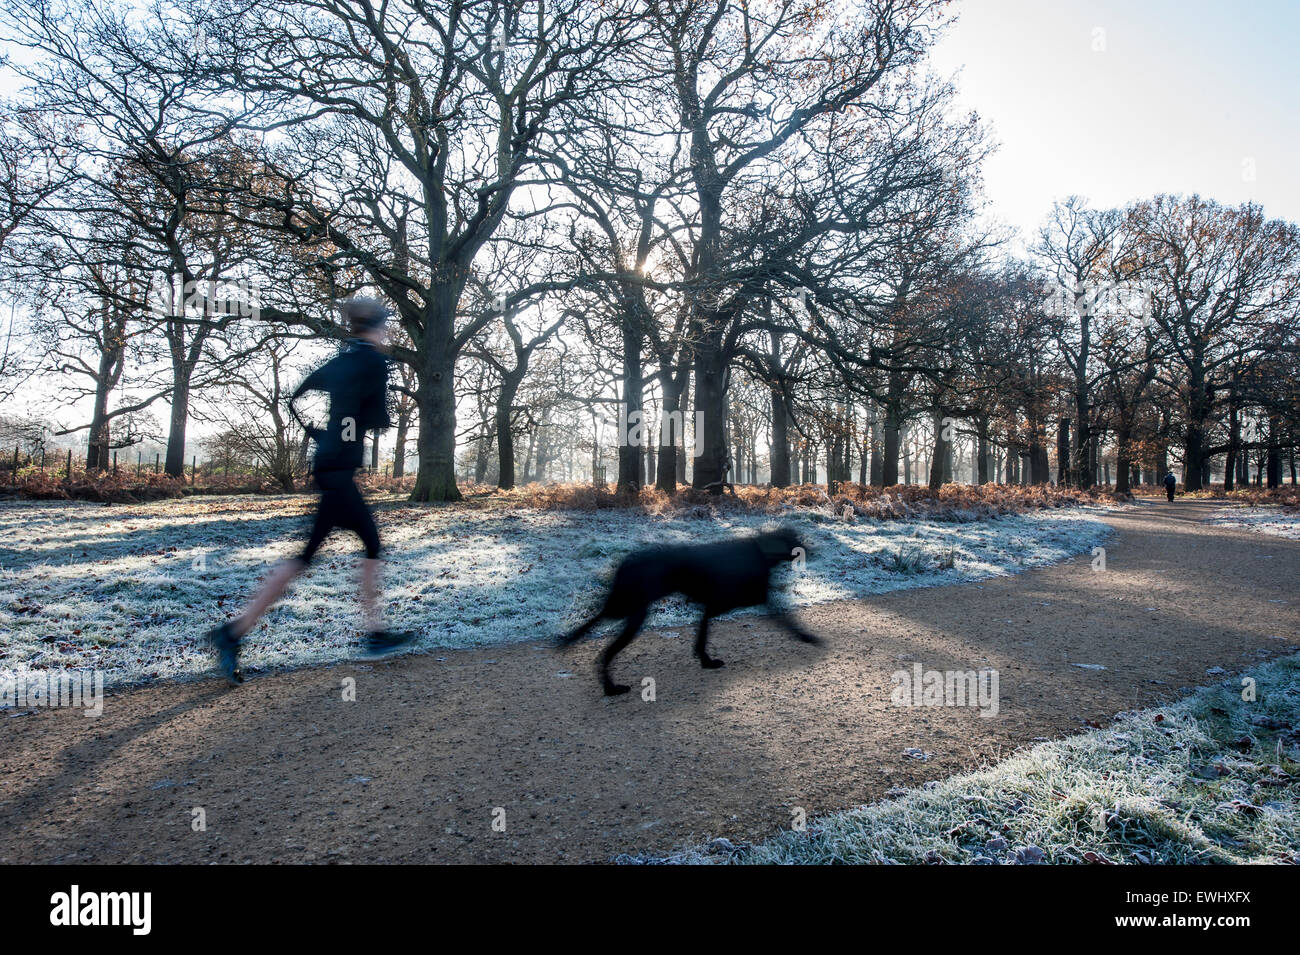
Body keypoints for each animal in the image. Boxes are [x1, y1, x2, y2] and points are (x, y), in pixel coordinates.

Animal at [559, 527, 821, 696]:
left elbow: (702, 634)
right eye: (794, 539)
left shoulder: (714, 605)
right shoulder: (727, 603)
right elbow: (787, 620)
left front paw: (705, 660)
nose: (811, 551)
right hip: (633, 612)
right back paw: (611, 688)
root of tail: (625, 562)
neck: (760, 553)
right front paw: (808, 637)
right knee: (606, 651)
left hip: (624, 606)